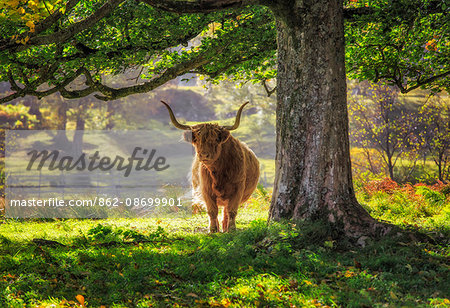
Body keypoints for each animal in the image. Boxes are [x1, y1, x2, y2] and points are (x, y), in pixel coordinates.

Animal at [162, 100, 260, 232]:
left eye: (215, 140)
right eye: (196, 140)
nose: (204, 155)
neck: (218, 172)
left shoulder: (238, 189)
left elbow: (232, 210)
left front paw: (231, 229)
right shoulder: (206, 190)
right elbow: (212, 211)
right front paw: (213, 229)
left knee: (226, 210)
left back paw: (225, 226)